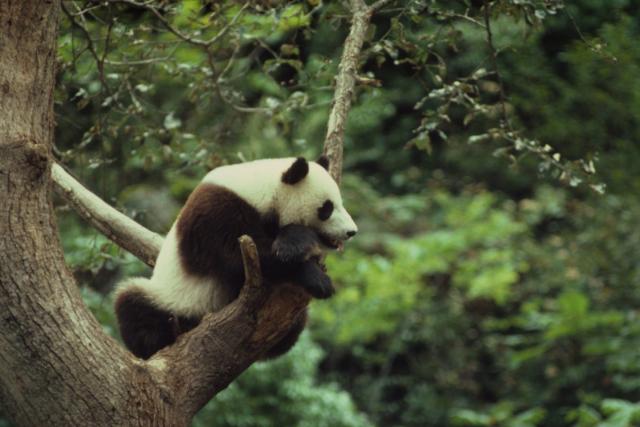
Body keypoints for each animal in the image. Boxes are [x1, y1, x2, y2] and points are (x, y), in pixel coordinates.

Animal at [114, 156, 357, 360]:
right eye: (327, 208)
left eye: (341, 203)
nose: (351, 231)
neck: (262, 189)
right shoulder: (217, 212)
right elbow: (239, 258)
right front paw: (314, 273)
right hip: (174, 299)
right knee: (133, 303)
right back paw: (158, 338)